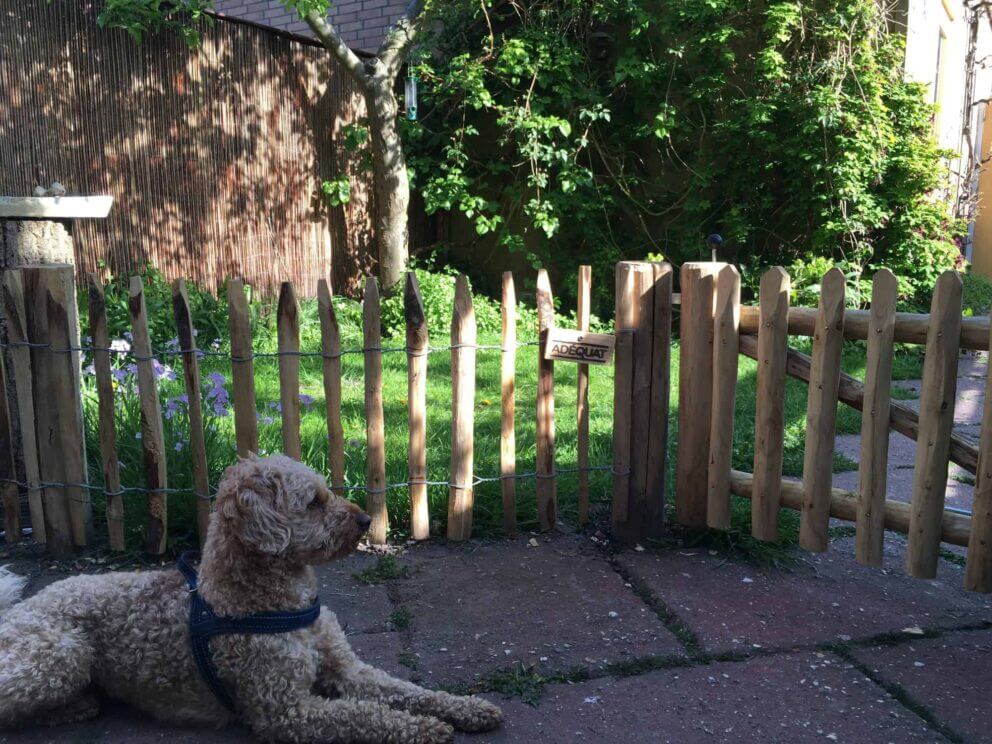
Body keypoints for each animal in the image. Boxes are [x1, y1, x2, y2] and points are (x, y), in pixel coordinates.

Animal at [0, 454, 500, 744]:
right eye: (313, 502)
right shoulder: (287, 711)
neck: (278, 602)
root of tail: (18, 609)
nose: (364, 520)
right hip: (61, 656)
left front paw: (467, 708)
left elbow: (408, 691)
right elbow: (369, 716)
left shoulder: (348, 670)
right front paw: (424, 728)